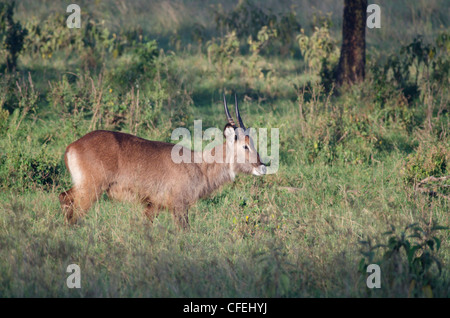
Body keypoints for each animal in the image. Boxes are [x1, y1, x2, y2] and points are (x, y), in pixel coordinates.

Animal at [58, 94, 266, 229]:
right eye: (245, 146)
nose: (262, 167)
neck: (199, 164)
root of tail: (72, 146)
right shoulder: (180, 206)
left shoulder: (153, 206)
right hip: (91, 190)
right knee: (73, 209)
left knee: (64, 198)